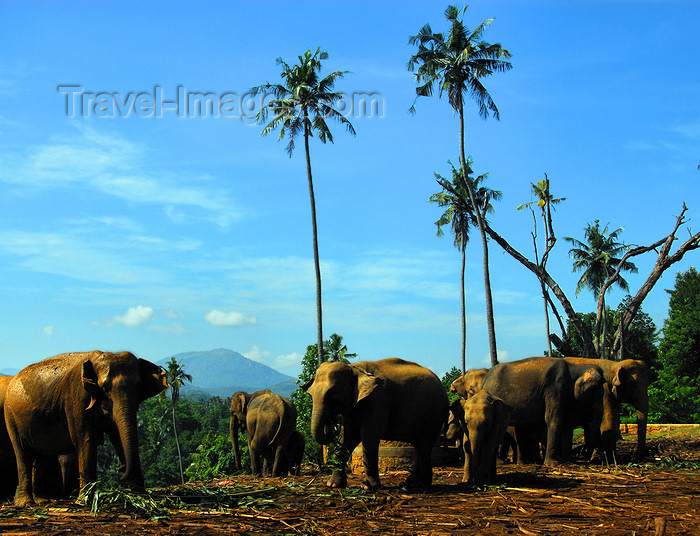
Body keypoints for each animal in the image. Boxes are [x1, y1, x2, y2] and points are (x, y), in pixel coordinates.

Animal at [4, 350, 165, 504]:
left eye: (139, 385)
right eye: (105, 387)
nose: (121, 468)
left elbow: (118, 438)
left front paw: (142, 498)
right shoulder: (76, 398)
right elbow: (85, 439)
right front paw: (85, 501)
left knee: (39, 455)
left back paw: (41, 501)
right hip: (10, 416)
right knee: (22, 453)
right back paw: (25, 503)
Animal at [302, 358, 448, 488]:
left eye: (333, 394)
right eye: (311, 394)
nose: (330, 424)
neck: (354, 368)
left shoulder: (377, 400)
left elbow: (369, 438)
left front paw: (368, 487)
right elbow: (348, 438)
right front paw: (332, 485)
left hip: (434, 415)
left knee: (423, 446)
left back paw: (410, 484)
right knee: (423, 447)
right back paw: (421, 485)